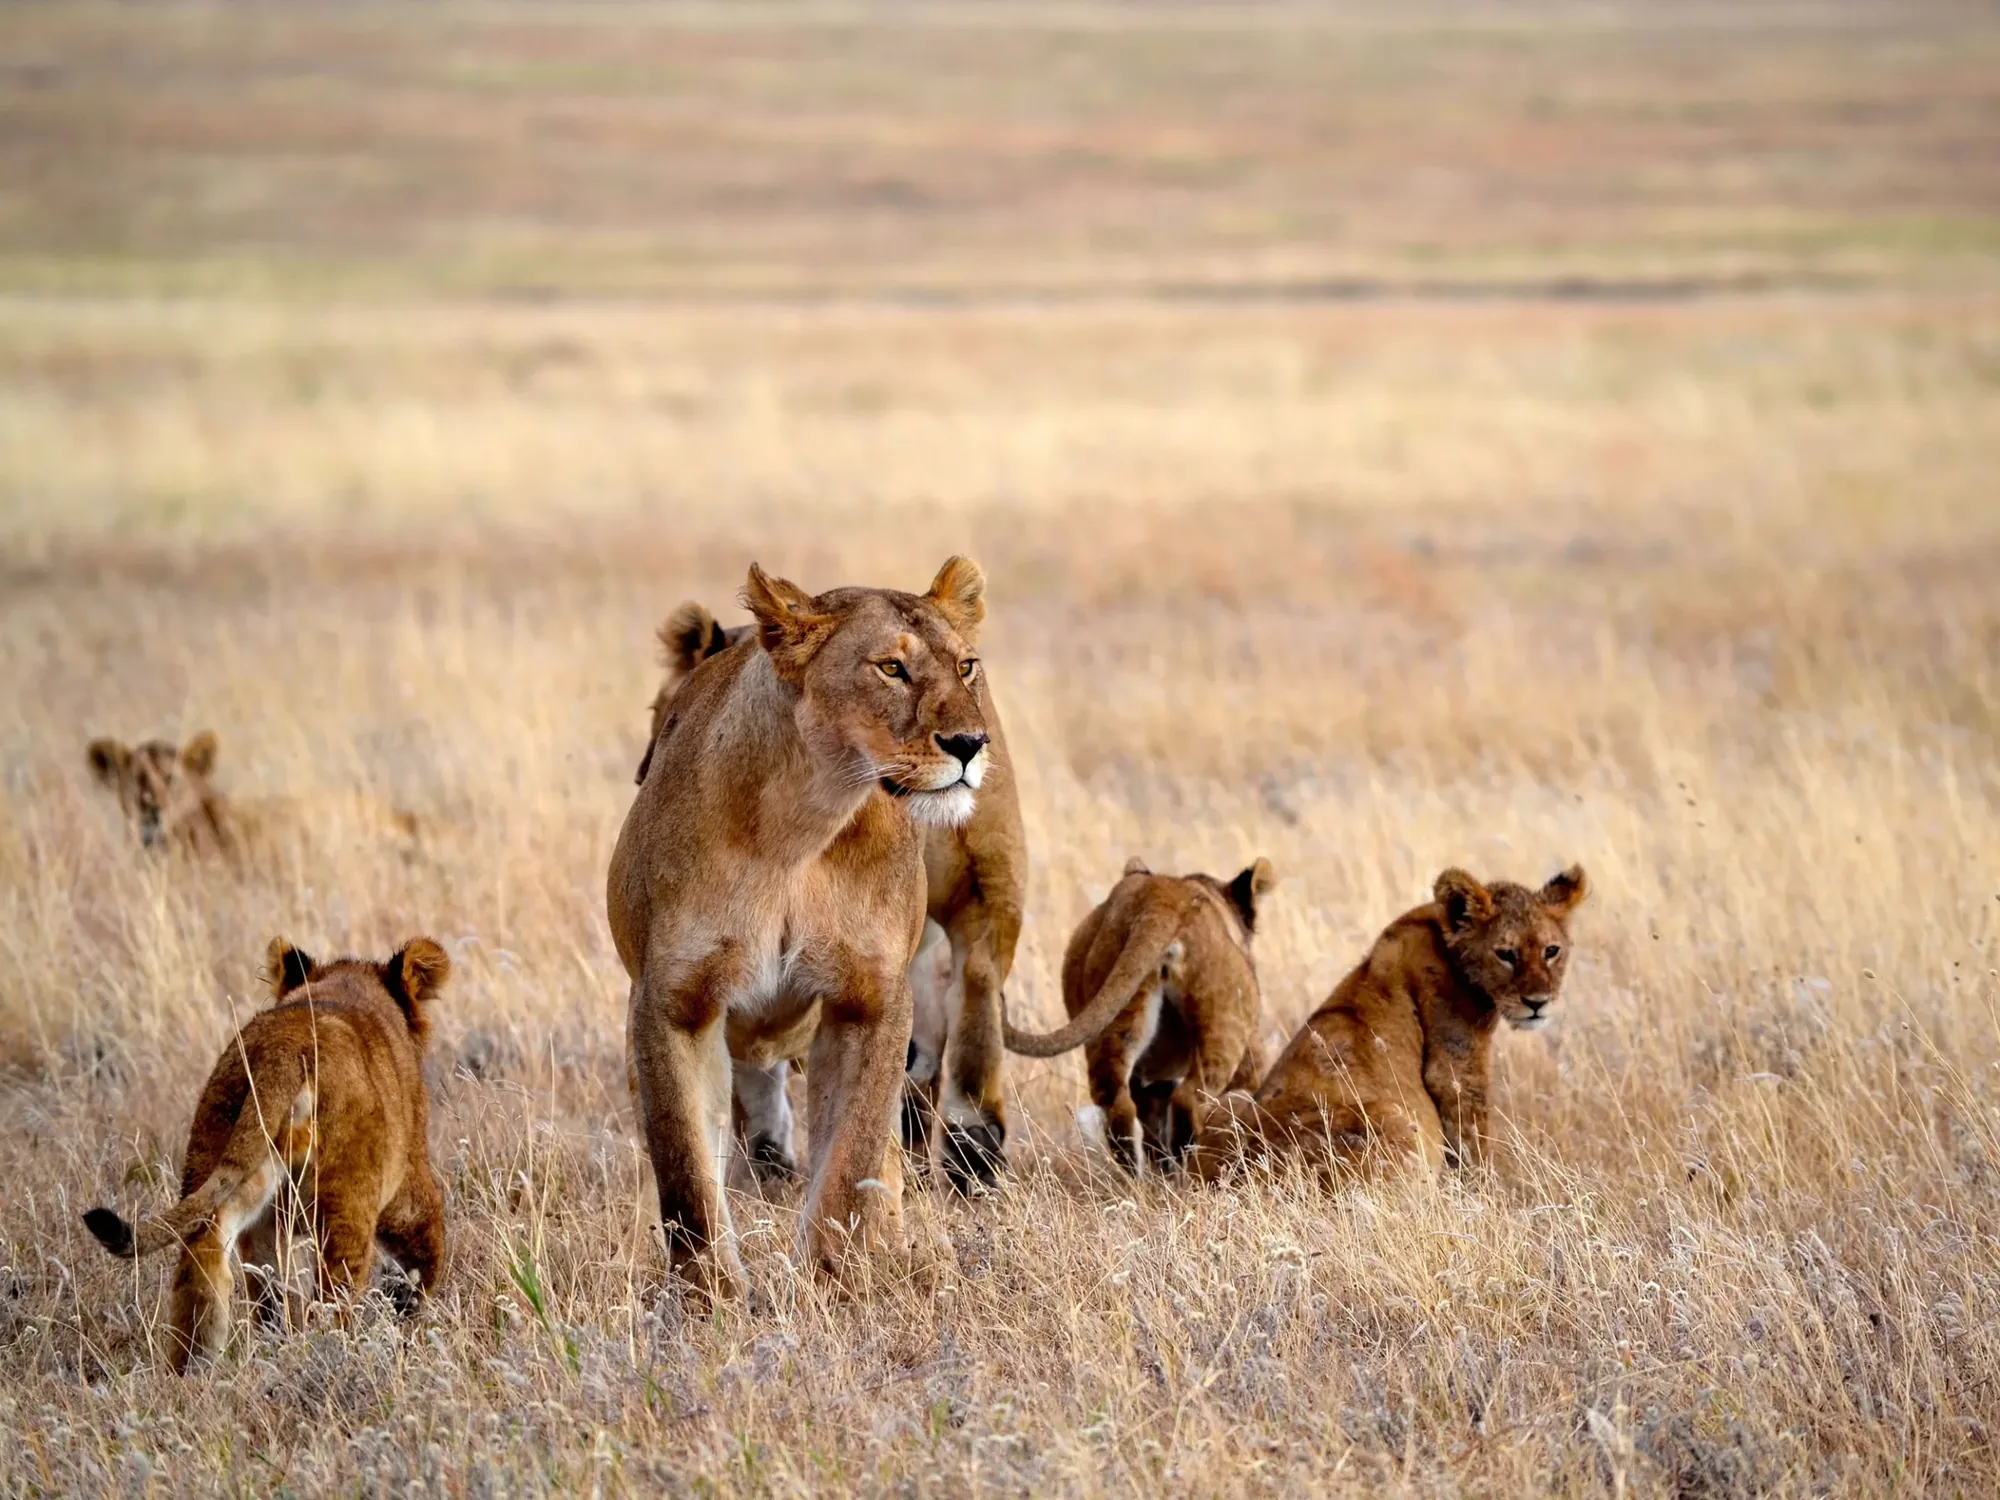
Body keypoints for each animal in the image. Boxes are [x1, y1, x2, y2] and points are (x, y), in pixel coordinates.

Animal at [82, 936, 451, 1372]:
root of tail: (284, 1049)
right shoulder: (408, 1180)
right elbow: (422, 1252)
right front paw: (409, 1318)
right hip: (347, 1198)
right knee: (332, 1297)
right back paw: (329, 1358)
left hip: (228, 1161)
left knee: (215, 1259)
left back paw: (196, 1368)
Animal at [609, 557, 992, 1297]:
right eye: (890, 668)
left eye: (967, 666)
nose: (970, 744)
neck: (802, 823)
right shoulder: (672, 1001)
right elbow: (684, 1170)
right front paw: (710, 1297)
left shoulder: (870, 999)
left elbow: (851, 1159)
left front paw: (829, 1282)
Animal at [1005, 856, 1276, 1175]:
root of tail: (1160, 899)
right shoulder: (1251, 1052)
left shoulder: (1154, 1079)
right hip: (1225, 1025)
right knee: (1189, 1098)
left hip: (1116, 1015)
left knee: (1117, 1103)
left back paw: (1140, 1175)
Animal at [1188, 865, 1588, 1183]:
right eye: (1506, 954)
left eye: (1551, 951)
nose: (1537, 1003)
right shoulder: (1455, 1065)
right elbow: (1473, 1143)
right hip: (1393, 1116)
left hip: (1230, 1100)